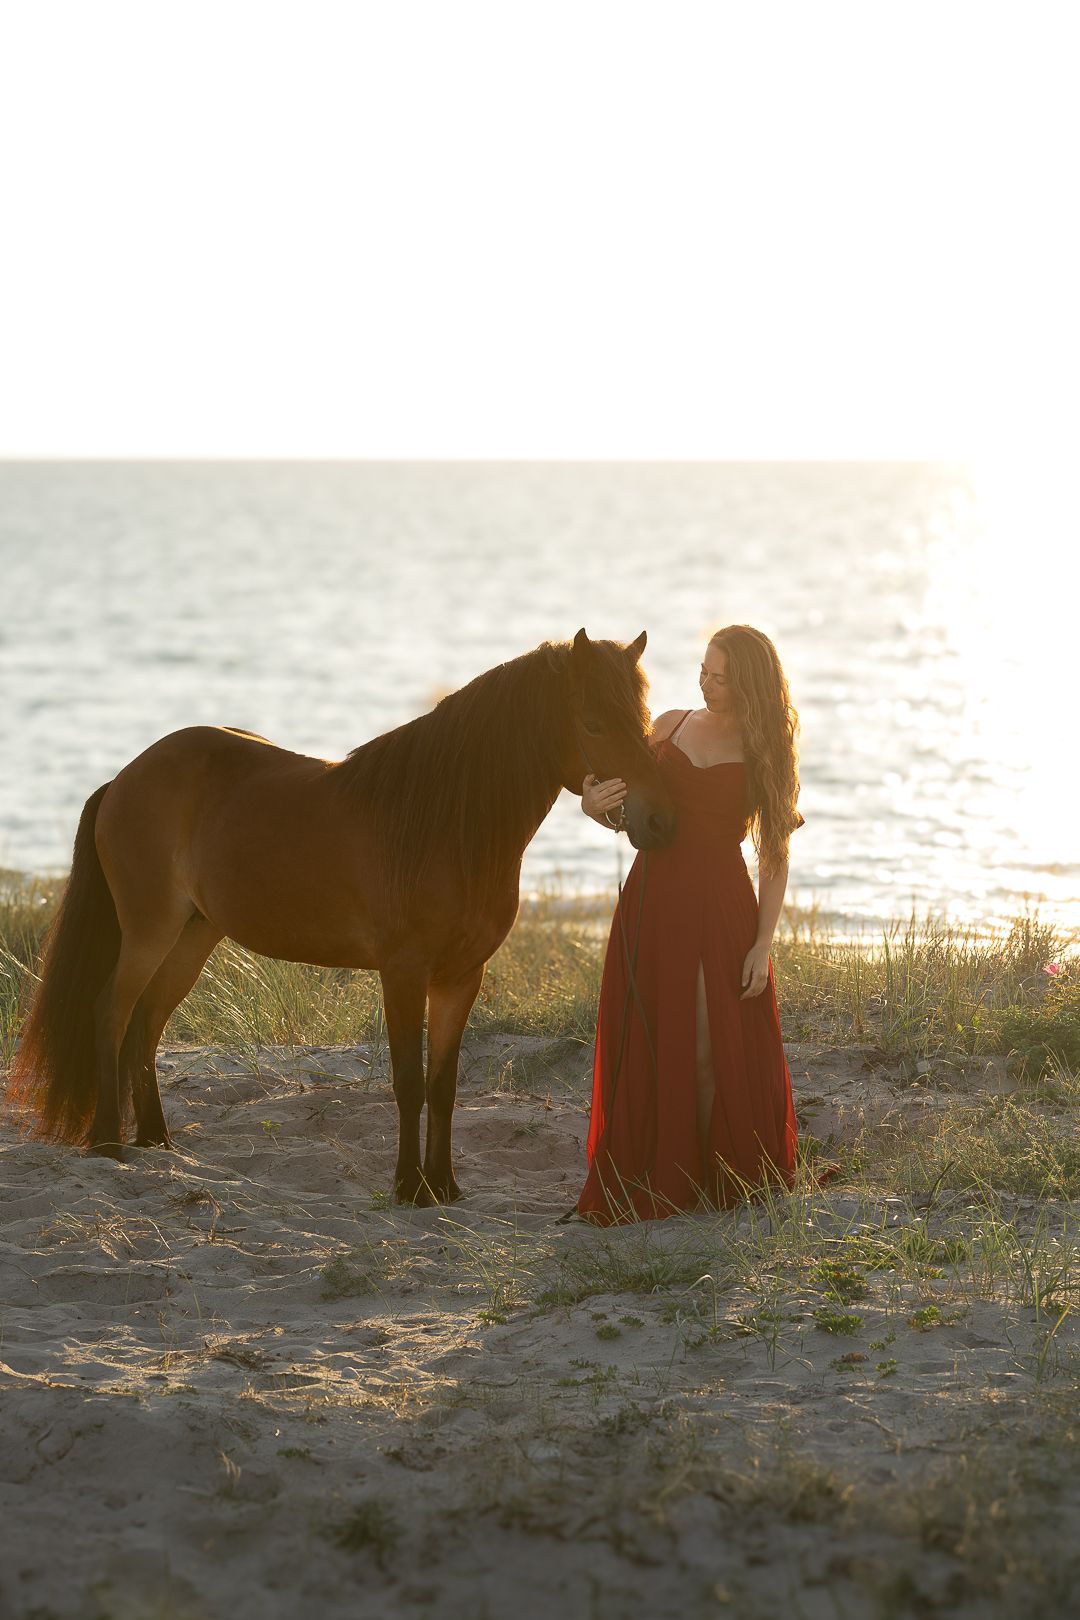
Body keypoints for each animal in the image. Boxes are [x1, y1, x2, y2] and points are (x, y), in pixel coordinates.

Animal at [8, 629, 677, 1203]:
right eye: (592, 722)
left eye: (644, 720)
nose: (659, 819)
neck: (446, 827)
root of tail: (124, 777)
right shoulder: (403, 972)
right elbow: (408, 1081)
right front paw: (410, 1188)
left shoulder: (461, 976)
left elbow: (444, 1084)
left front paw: (444, 1186)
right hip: (151, 930)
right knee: (111, 1012)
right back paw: (108, 1143)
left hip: (195, 935)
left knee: (146, 1022)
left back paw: (156, 1140)